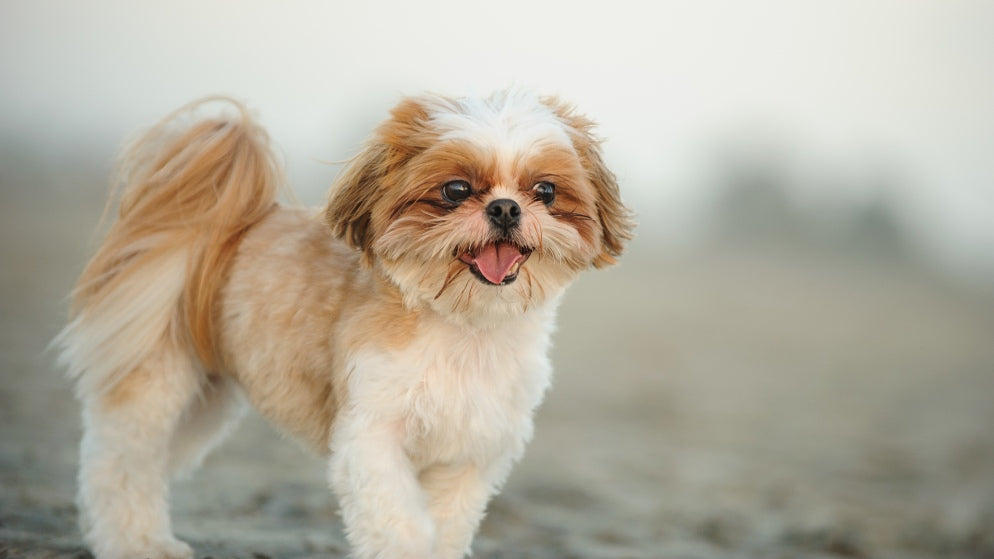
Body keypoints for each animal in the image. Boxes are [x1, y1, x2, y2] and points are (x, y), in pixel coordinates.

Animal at [60, 89, 636, 556]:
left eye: (545, 191)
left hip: (205, 400)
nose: (505, 208)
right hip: (155, 378)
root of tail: (212, 225)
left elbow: (447, 524)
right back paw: (138, 543)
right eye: (454, 190)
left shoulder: (469, 456)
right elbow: (399, 523)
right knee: (120, 465)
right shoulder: (372, 435)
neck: (464, 328)